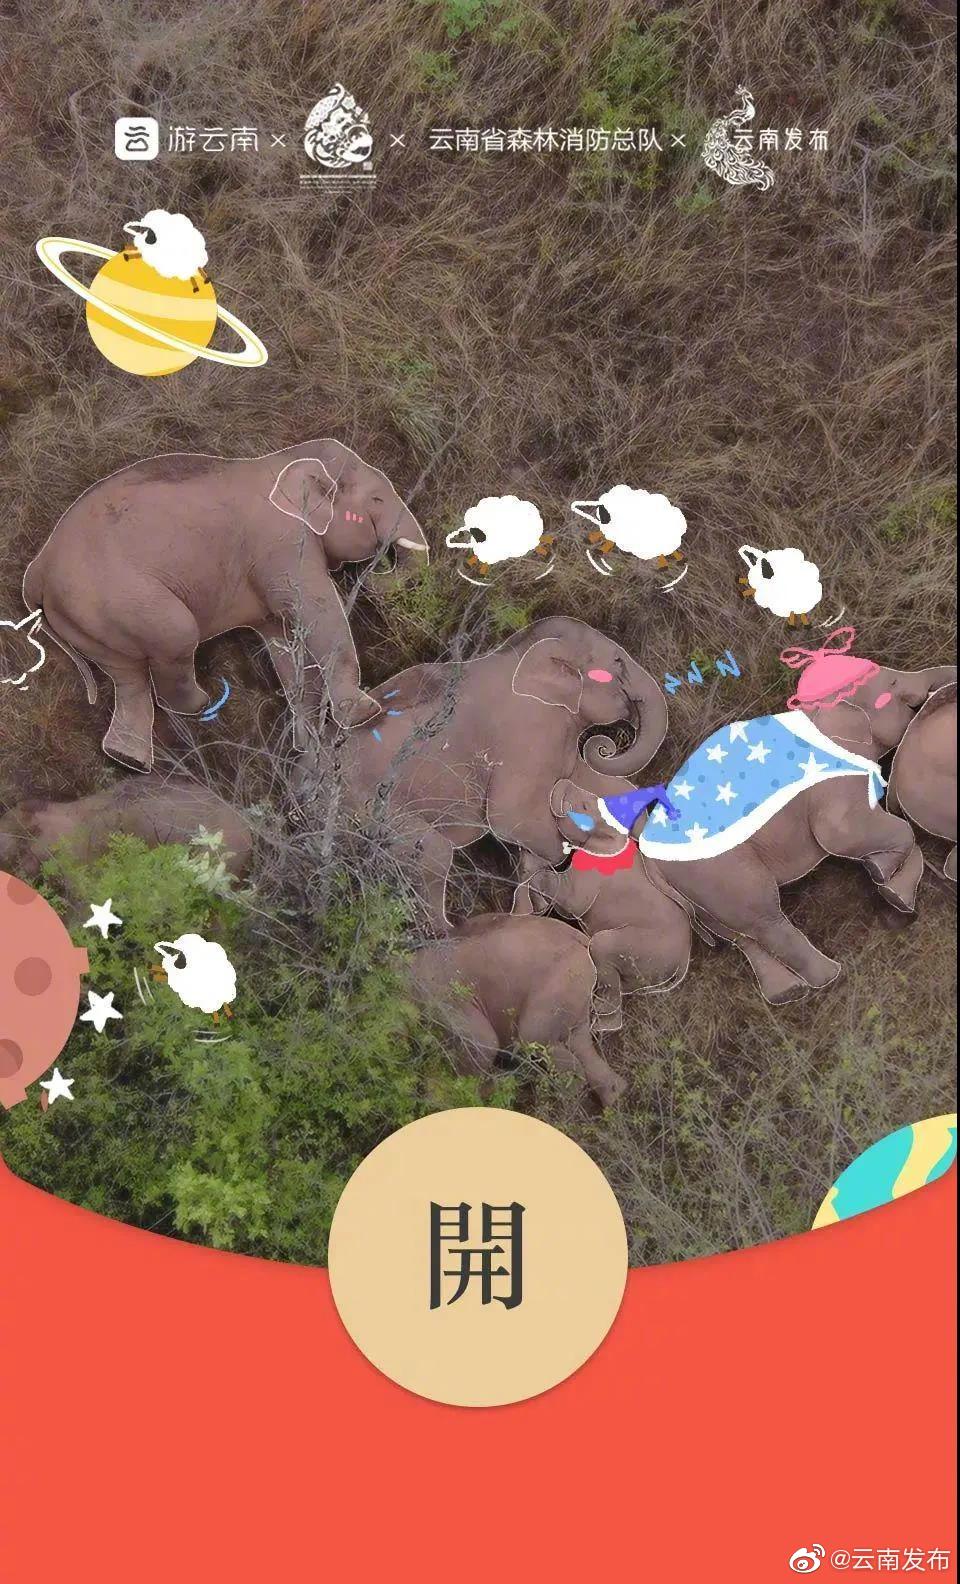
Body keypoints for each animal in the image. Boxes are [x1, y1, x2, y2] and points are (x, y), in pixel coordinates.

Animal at [21, 440, 429, 772]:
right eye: (376, 500)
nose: (377, 564)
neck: (287, 459)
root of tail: (36, 571)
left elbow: (283, 641)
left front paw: (307, 745)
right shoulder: (281, 543)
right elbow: (317, 612)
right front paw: (365, 714)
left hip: (89, 620)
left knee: (128, 676)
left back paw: (128, 760)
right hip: (117, 598)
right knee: (176, 635)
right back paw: (203, 704)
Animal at [328, 616, 670, 930]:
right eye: (618, 662)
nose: (605, 747)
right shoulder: (529, 731)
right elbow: (509, 817)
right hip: (371, 808)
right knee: (433, 854)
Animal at [406, 913, 626, 1105]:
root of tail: (584, 943)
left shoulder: (441, 996)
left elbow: (484, 1044)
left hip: (560, 981)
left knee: (534, 1037)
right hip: (575, 993)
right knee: (580, 1044)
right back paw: (614, 1096)